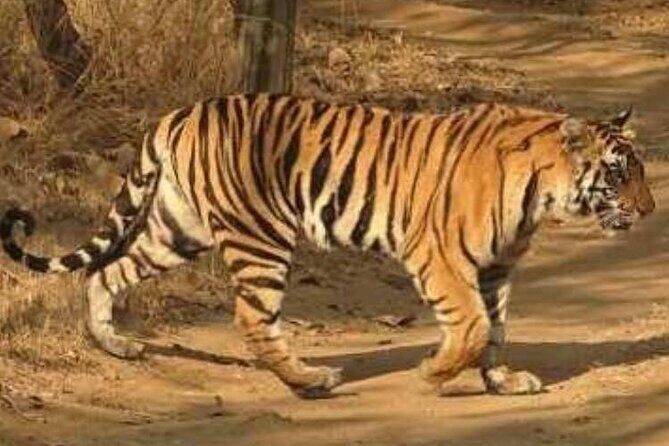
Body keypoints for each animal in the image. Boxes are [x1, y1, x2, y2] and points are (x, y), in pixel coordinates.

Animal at [0, 94, 655, 399]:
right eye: (619, 173)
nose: (650, 211)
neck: (542, 194)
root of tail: (180, 112)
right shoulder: (439, 256)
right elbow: (470, 326)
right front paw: (434, 371)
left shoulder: (495, 267)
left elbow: (493, 331)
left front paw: (502, 382)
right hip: (260, 237)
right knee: (252, 317)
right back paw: (310, 380)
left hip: (175, 228)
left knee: (105, 272)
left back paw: (115, 345)